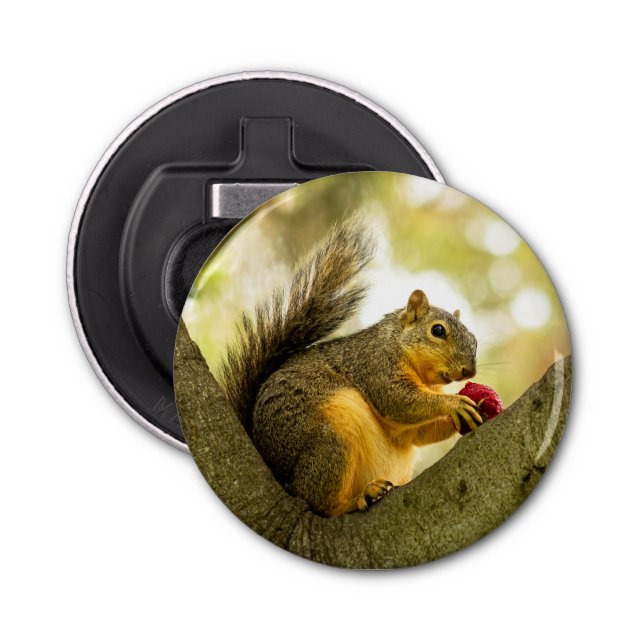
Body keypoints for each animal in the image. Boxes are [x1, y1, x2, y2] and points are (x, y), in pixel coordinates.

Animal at [218, 217, 482, 517]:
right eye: (438, 330)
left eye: (474, 339)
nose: (470, 372)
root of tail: (279, 475)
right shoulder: (374, 365)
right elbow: (398, 400)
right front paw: (454, 403)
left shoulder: (409, 423)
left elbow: (419, 432)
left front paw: (463, 415)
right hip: (330, 442)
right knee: (320, 503)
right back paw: (361, 497)